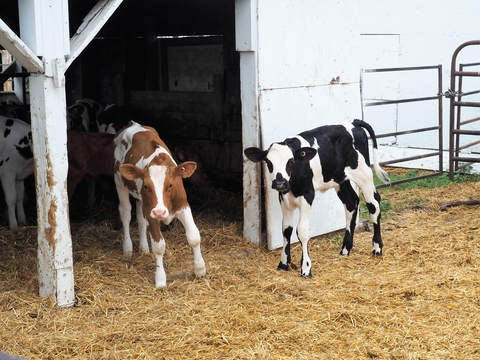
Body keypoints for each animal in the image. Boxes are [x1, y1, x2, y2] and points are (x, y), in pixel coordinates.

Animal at [116, 121, 208, 286]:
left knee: (139, 217)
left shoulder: (183, 206)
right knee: (126, 213)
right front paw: (160, 280)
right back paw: (127, 248)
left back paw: (144, 248)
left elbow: (194, 236)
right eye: (146, 186)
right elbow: (159, 246)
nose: (160, 212)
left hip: (141, 200)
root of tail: (133, 123)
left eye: (170, 185)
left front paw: (200, 269)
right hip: (119, 183)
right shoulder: (151, 212)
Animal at [244, 119, 390, 278]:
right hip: (340, 179)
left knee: (374, 205)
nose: (280, 183)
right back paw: (345, 249)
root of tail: (354, 122)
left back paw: (377, 248)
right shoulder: (283, 198)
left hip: (364, 174)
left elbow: (302, 231)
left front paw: (306, 268)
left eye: (290, 161)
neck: (292, 185)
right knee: (351, 203)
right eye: (268, 162)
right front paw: (283, 263)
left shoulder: (307, 196)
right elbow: (286, 229)